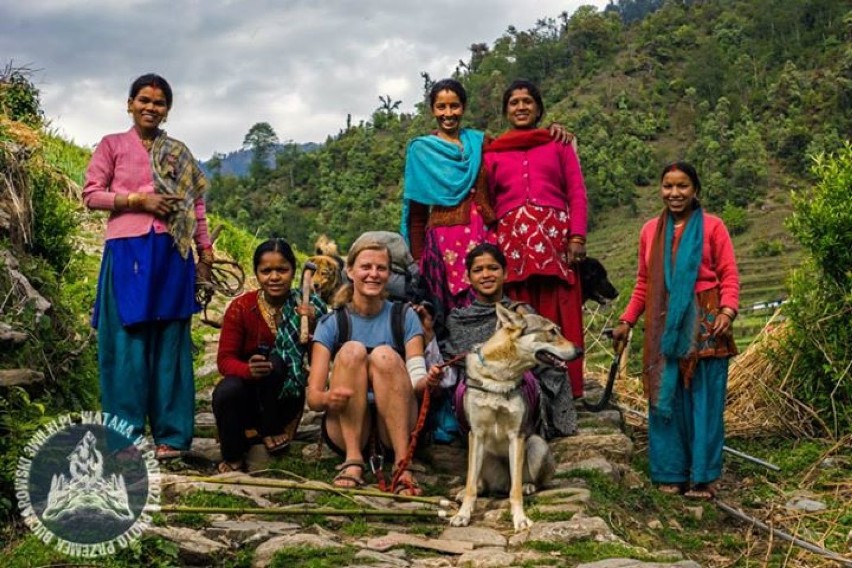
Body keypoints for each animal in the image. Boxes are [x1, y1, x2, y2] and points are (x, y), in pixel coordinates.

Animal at [450, 306, 584, 532]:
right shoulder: (476, 434)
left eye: (559, 330)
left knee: (526, 482)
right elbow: (470, 486)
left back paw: (528, 485)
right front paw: (463, 515)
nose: (580, 350)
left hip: (536, 443)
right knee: (479, 483)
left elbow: (516, 491)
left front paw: (520, 519)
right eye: (552, 331)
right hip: (481, 451)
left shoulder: (517, 436)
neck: (500, 377)